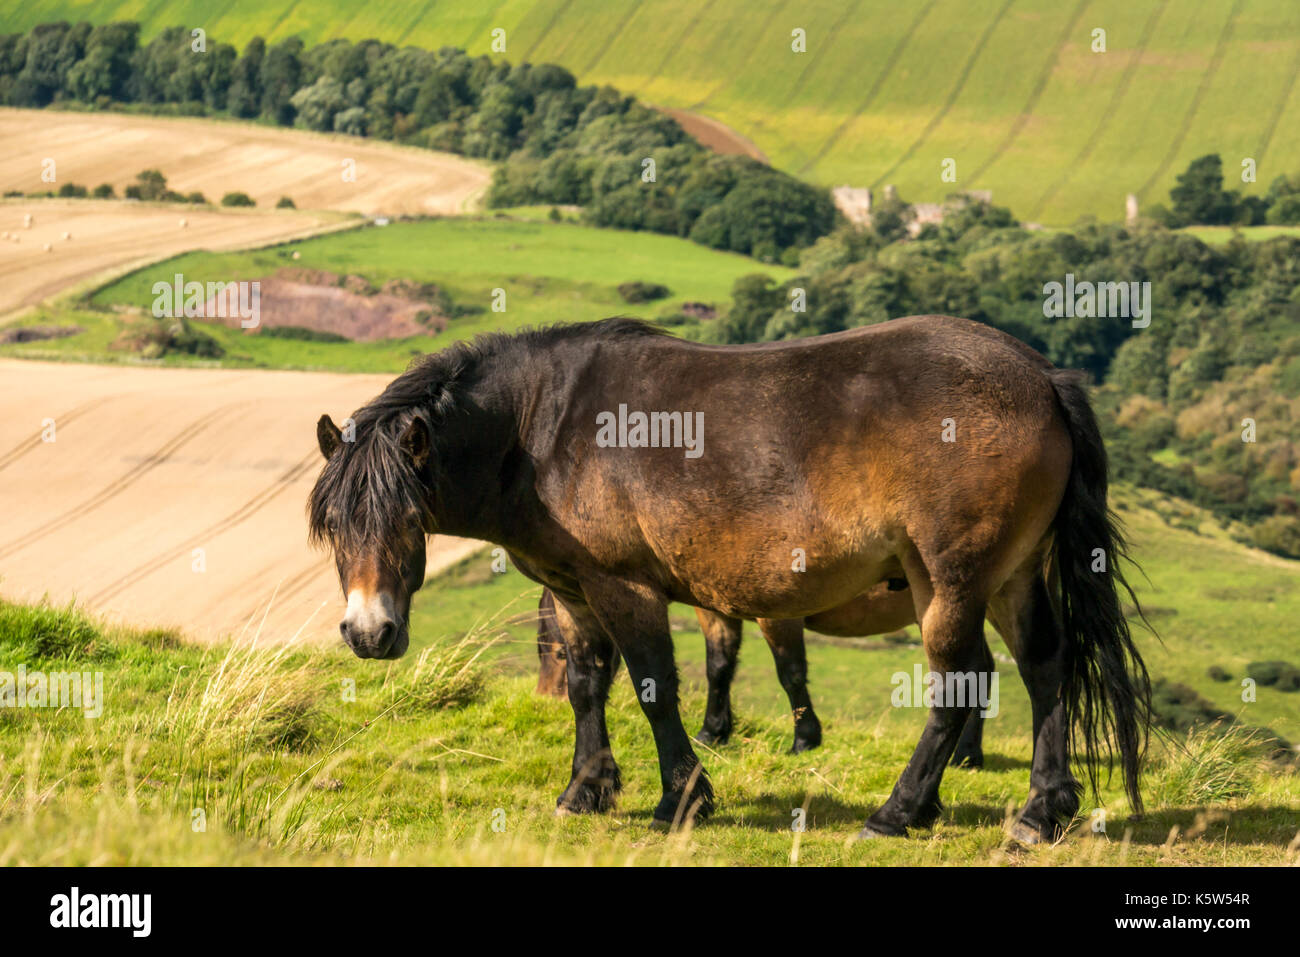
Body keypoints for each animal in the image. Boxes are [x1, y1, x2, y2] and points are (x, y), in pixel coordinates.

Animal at [309, 314, 1154, 837]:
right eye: (335, 525)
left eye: (408, 517)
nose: (368, 632)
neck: (540, 426)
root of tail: (1042, 375)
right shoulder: (574, 590)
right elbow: (586, 686)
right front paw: (587, 788)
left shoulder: (626, 586)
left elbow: (655, 688)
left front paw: (681, 798)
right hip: (1010, 577)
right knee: (1044, 667)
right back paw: (1042, 809)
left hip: (949, 582)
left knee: (957, 682)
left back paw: (899, 809)